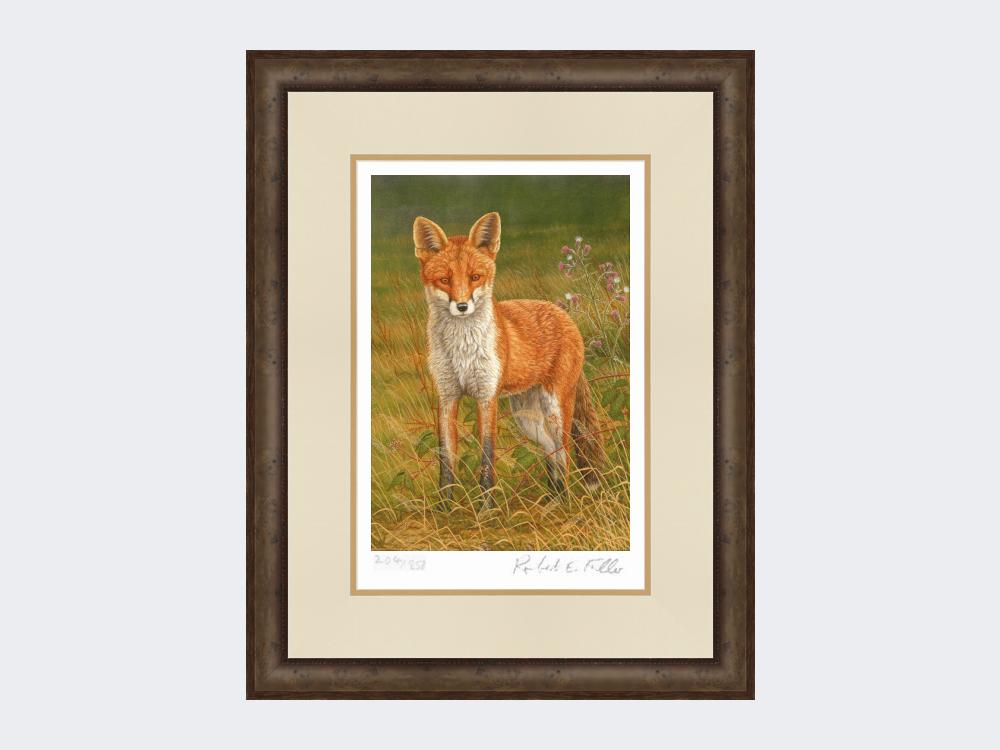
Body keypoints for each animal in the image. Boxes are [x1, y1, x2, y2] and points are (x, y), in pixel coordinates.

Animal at [413, 211, 605, 506]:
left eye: (475, 277)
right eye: (444, 280)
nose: (462, 306)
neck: (461, 350)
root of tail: (563, 314)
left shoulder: (486, 396)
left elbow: (487, 457)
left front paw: (486, 509)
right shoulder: (447, 396)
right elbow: (446, 459)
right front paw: (445, 508)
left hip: (555, 410)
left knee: (565, 454)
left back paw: (565, 504)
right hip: (527, 418)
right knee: (551, 452)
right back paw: (553, 501)